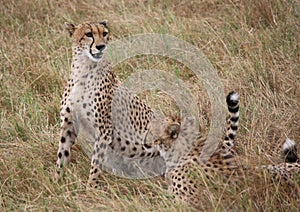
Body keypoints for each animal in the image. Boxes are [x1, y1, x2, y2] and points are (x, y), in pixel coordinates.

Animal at [55, 20, 165, 186]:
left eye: (104, 33)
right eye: (89, 34)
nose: (101, 46)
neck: (84, 70)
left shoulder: (104, 130)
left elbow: (96, 162)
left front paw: (91, 187)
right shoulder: (68, 124)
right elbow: (62, 154)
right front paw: (55, 182)